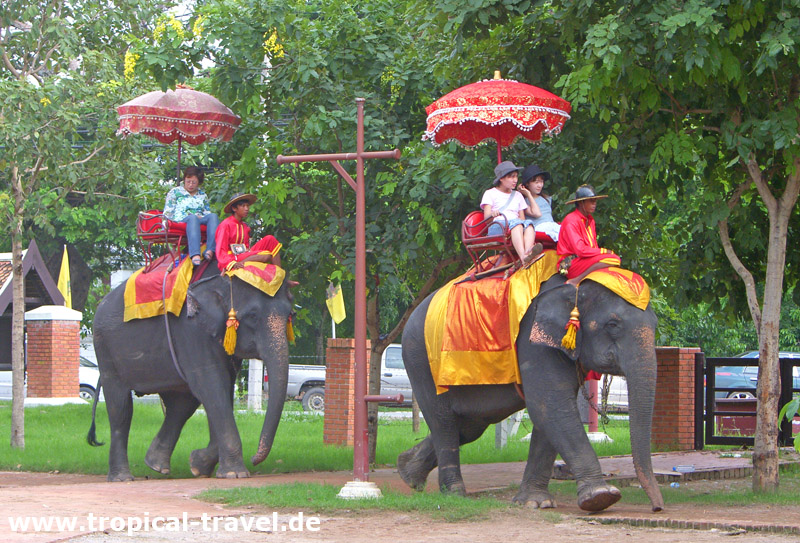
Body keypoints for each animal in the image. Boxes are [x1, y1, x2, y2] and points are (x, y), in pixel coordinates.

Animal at [88, 266, 294, 482]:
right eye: (253, 316)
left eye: (291, 315)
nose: (255, 458)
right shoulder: (191, 332)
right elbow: (212, 385)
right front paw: (234, 474)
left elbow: (221, 389)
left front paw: (198, 465)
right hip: (105, 349)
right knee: (121, 408)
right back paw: (122, 478)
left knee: (181, 404)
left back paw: (156, 465)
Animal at [396, 276, 664, 516]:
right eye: (613, 325)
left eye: (655, 324)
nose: (657, 508)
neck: (575, 284)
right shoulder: (534, 341)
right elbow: (550, 405)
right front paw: (601, 497)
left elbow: (551, 411)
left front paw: (535, 503)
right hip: (421, 360)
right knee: (444, 422)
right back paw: (454, 493)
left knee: (468, 427)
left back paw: (407, 473)